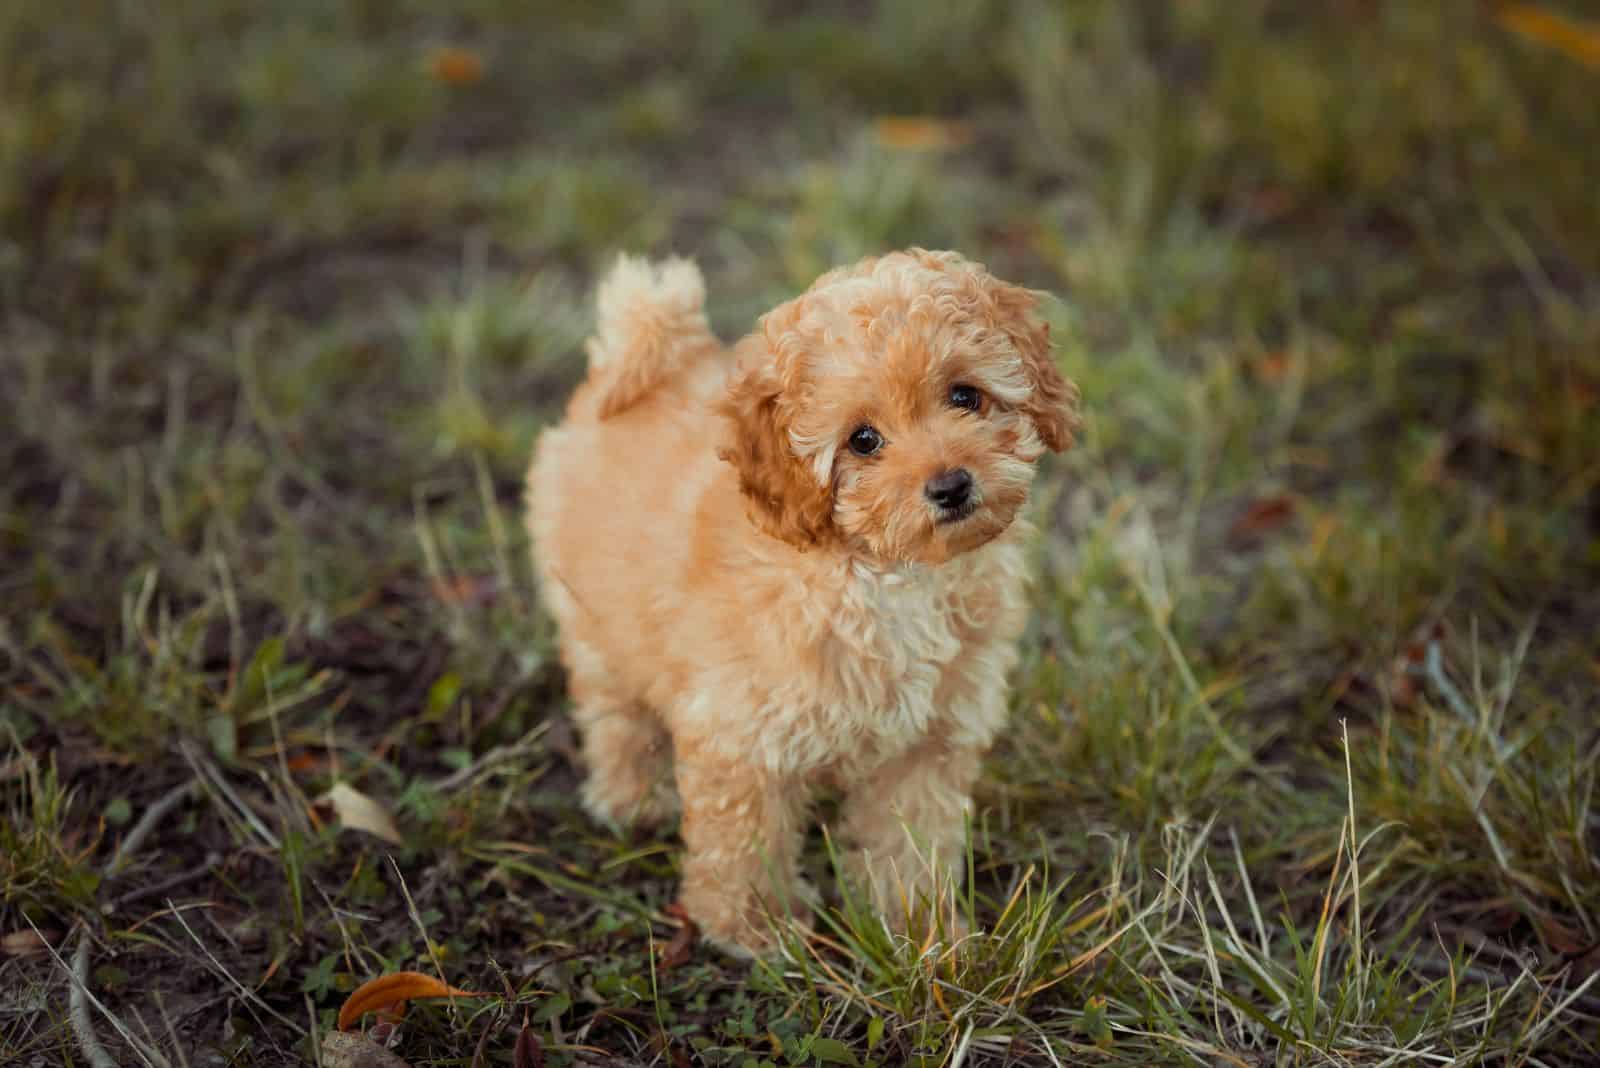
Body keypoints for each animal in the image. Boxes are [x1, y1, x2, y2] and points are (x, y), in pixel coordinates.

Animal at [524, 252, 1075, 959]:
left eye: (964, 396)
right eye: (863, 440)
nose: (951, 486)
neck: (885, 575)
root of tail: (644, 355)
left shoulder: (927, 741)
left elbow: (910, 842)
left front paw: (921, 931)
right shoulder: (742, 736)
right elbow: (745, 843)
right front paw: (753, 930)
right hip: (594, 622)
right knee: (615, 714)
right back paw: (633, 800)